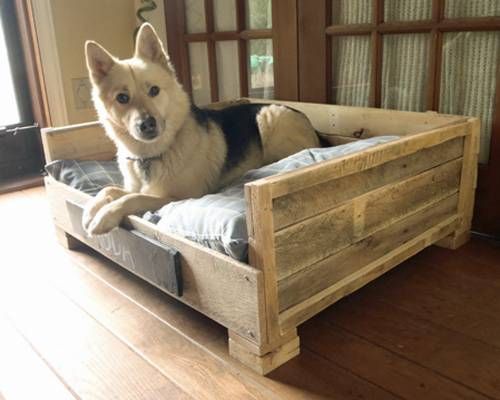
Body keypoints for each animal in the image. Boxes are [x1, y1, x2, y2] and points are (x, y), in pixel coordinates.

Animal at [80, 23, 318, 236]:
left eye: (154, 91)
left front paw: (104, 216)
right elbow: (109, 189)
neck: (152, 155)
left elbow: (133, 198)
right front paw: (91, 209)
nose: (147, 124)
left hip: (268, 117)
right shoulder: (132, 187)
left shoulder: (177, 198)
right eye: (122, 98)